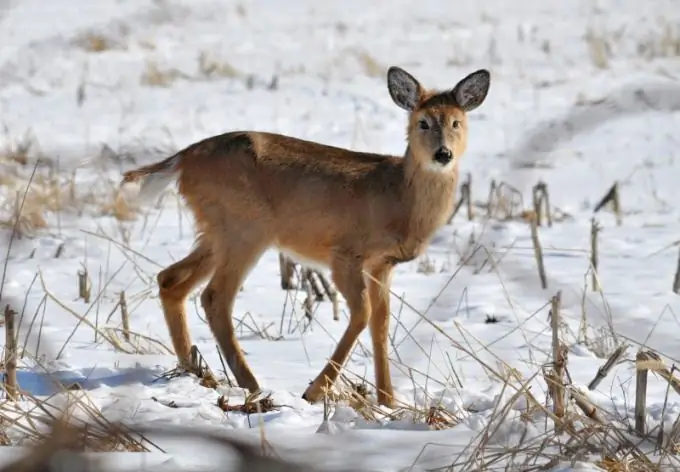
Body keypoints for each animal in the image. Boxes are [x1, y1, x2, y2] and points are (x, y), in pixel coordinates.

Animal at [121, 64, 488, 408]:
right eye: (422, 122)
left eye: (456, 122)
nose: (443, 154)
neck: (398, 195)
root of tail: (182, 159)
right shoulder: (345, 254)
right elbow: (363, 314)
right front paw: (315, 391)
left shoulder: (382, 264)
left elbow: (381, 324)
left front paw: (388, 402)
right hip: (245, 228)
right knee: (214, 297)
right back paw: (251, 385)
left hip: (217, 232)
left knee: (171, 280)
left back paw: (198, 372)